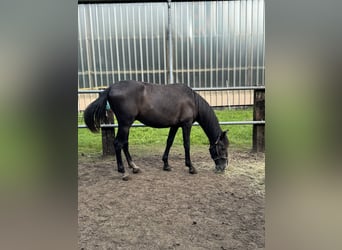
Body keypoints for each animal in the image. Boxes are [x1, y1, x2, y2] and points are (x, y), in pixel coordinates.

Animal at [85, 80, 230, 180]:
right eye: (222, 148)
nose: (223, 167)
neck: (192, 100)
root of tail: (110, 88)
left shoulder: (175, 125)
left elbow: (169, 142)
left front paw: (166, 165)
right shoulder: (186, 124)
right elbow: (186, 145)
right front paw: (191, 167)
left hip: (126, 124)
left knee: (125, 144)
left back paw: (134, 167)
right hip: (125, 124)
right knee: (118, 144)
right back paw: (124, 173)